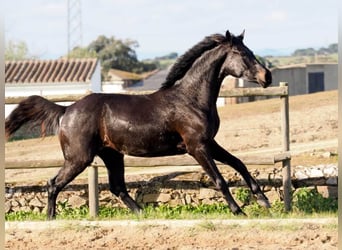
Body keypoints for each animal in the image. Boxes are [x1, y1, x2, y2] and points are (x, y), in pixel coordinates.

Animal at [5, 29, 272, 219]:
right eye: (242, 54)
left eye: (250, 50)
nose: (267, 77)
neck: (190, 98)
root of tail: (67, 109)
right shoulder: (197, 147)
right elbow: (219, 180)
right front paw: (239, 211)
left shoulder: (209, 143)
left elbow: (240, 164)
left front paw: (264, 201)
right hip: (78, 158)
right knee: (53, 184)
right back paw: (51, 219)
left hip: (112, 155)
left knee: (117, 187)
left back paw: (143, 213)